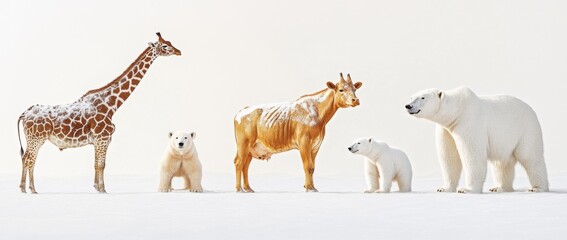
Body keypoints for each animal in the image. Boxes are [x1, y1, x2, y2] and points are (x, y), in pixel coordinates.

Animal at [16, 32, 182, 193]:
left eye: (170, 42)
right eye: (165, 46)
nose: (179, 52)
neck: (111, 105)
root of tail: (24, 113)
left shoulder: (100, 140)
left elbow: (97, 164)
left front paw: (96, 187)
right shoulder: (103, 138)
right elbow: (101, 165)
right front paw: (103, 190)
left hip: (33, 139)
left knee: (27, 158)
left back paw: (27, 188)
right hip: (36, 138)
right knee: (29, 159)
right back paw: (29, 189)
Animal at [232, 72, 362, 192]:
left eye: (354, 89)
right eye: (341, 89)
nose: (355, 100)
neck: (318, 114)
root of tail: (241, 111)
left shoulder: (316, 145)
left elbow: (312, 167)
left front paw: (312, 186)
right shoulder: (304, 141)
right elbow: (307, 165)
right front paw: (309, 188)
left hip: (250, 149)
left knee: (245, 166)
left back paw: (248, 188)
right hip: (243, 144)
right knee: (239, 163)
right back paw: (239, 189)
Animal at [408, 86, 552, 193]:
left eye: (423, 97)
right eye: (411, 97)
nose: (408, 106)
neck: (457, 110)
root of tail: (531, 110)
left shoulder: (468, 122)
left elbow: (472, 155)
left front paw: (466, 189)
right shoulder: (446, 130)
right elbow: (449, 157)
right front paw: (444, 188)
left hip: (526, 129)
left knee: (530, 156)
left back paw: (537, 188)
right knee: (501, 164)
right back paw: (499, 187)